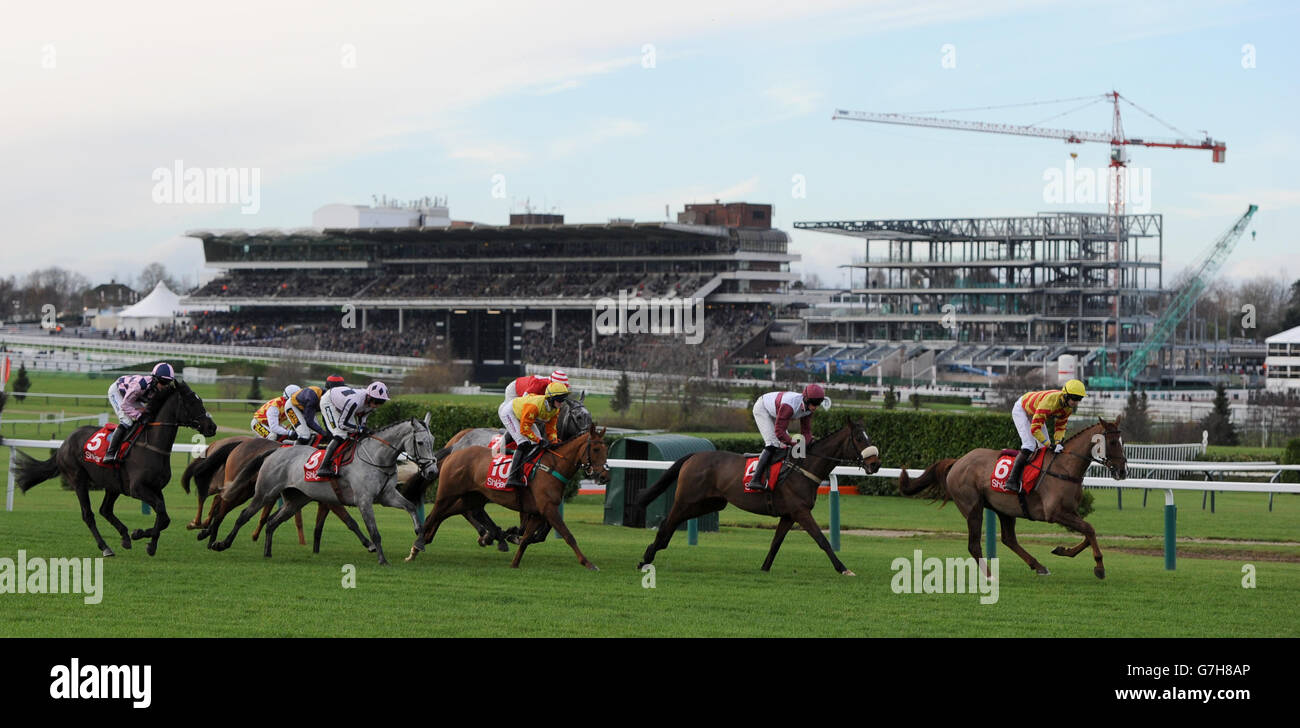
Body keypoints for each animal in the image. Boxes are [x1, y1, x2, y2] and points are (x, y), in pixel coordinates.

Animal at [13, 382, 217, 556]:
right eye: (192, 402)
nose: (212, 427)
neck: (152, 446)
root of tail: (64, 444)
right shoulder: (137, 488)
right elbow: (161, 511)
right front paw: (143, 538)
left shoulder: (155, 488)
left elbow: (164, 517)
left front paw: (144, 539)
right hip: (78, 480)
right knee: (88, 515)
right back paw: (105, 547)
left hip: (113, 485)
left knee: (105, 510)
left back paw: (125, 536)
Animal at [210, 418, 439, 566]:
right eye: (420, 442)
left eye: (433, 441)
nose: (432, 471)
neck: (377, 458)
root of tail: (276, 450)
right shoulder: (363, 500)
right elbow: (373, 531)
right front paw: (382, 559)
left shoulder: (387, 496)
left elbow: (410, 507)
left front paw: (419, 540)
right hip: (264, 492)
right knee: (243, 515)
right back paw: (220, 543)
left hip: (296, 501)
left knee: (272, 522)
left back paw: (267, 552)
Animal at [403, 423, 611, 572]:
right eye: (596, 450)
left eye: (606, 449)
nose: (604, 477)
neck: (552, 466)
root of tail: (456, 449)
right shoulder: (548, 508)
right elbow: (568, 535)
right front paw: (588, 563)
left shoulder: (539, 511)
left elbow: (528, 537)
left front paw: (514, 561)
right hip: (448, 493)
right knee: (434, 515)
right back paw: (418, 544)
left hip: (471, 497)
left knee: (453, 513)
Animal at [631, 421, 878, 574]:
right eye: (859, 438)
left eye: (869, 436)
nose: (875, 464)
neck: (802, 467)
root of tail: (694, 455)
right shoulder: (800, 512)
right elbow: (822, 540)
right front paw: (843, 568)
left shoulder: (789, 515)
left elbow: (775, 543)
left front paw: (764, 568)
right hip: (687, 500)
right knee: (668, 521)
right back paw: (647, 557)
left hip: (709, 503)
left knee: (671, 523)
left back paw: (652, 551)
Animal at [899, 416, 1123, 579]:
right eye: (1112, 441)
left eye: (1122, 441)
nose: (1123, 470)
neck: (1064, 468)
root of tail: (958, 462)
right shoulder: (1055, 513)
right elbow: (1089, 529)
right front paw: (1099, 566)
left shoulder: (1071, 511)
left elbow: (1088, 532)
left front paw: (1062, 550)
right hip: (972, 506)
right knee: (974, 545)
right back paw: (989, 575)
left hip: (1005, 508)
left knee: (1009, 539)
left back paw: (1038, 566)